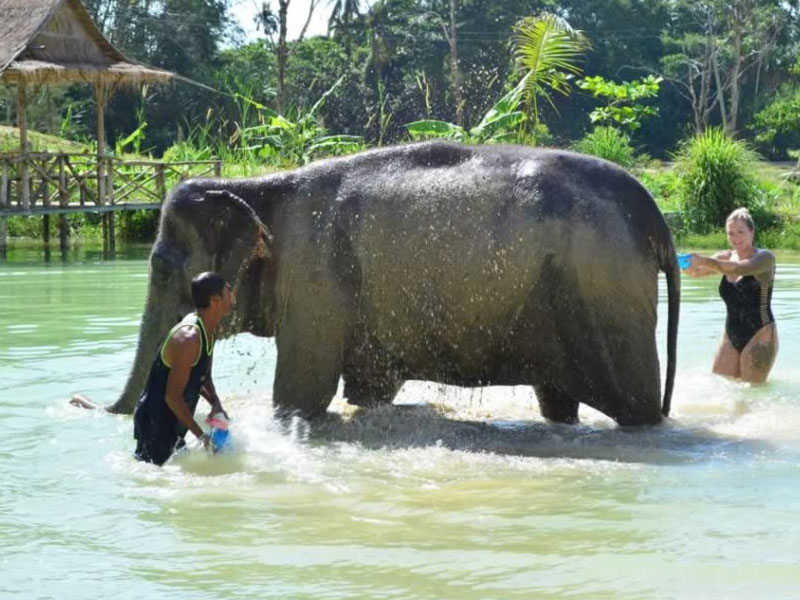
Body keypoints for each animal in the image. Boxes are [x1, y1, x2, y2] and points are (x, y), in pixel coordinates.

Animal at [106, 141, 680, 426]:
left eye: (162, 268)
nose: (99, 409)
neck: (257, 186)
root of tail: (656, 216)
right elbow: (369, 391)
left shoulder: (314, 280)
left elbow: (300, 396)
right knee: (557, 401)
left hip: (606, 299)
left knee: (636, 409)